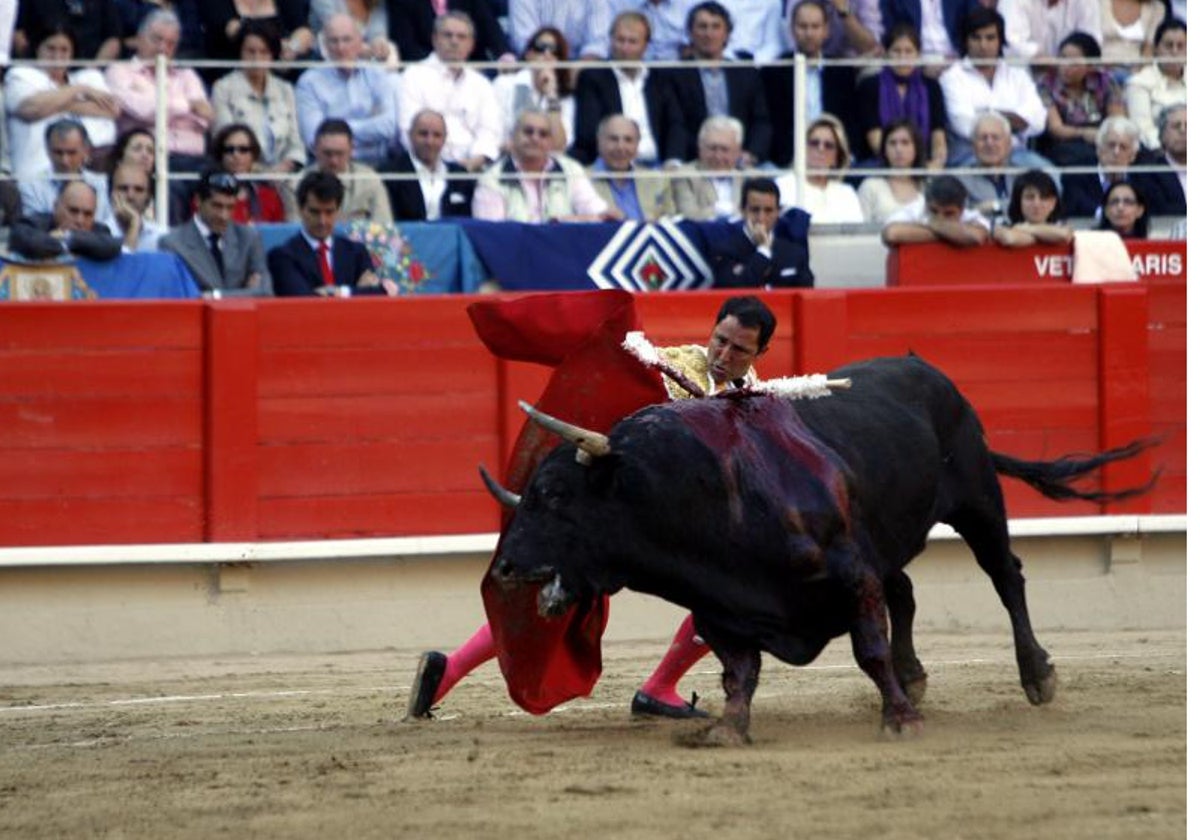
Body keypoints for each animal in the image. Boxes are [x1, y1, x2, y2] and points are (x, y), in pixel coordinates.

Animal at [487, 352, 1152, 739]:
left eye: (553, 494)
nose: (506, 568)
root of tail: (927, 369)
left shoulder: (850, 572)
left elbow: (868, 649)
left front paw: (900, 720)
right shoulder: (720, 607)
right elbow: (739, 671)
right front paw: (728, 730)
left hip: (978, 498)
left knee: (1005, 575)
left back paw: (1036, 675)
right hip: (886, 535)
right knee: (906, 590)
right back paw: (916, 676)